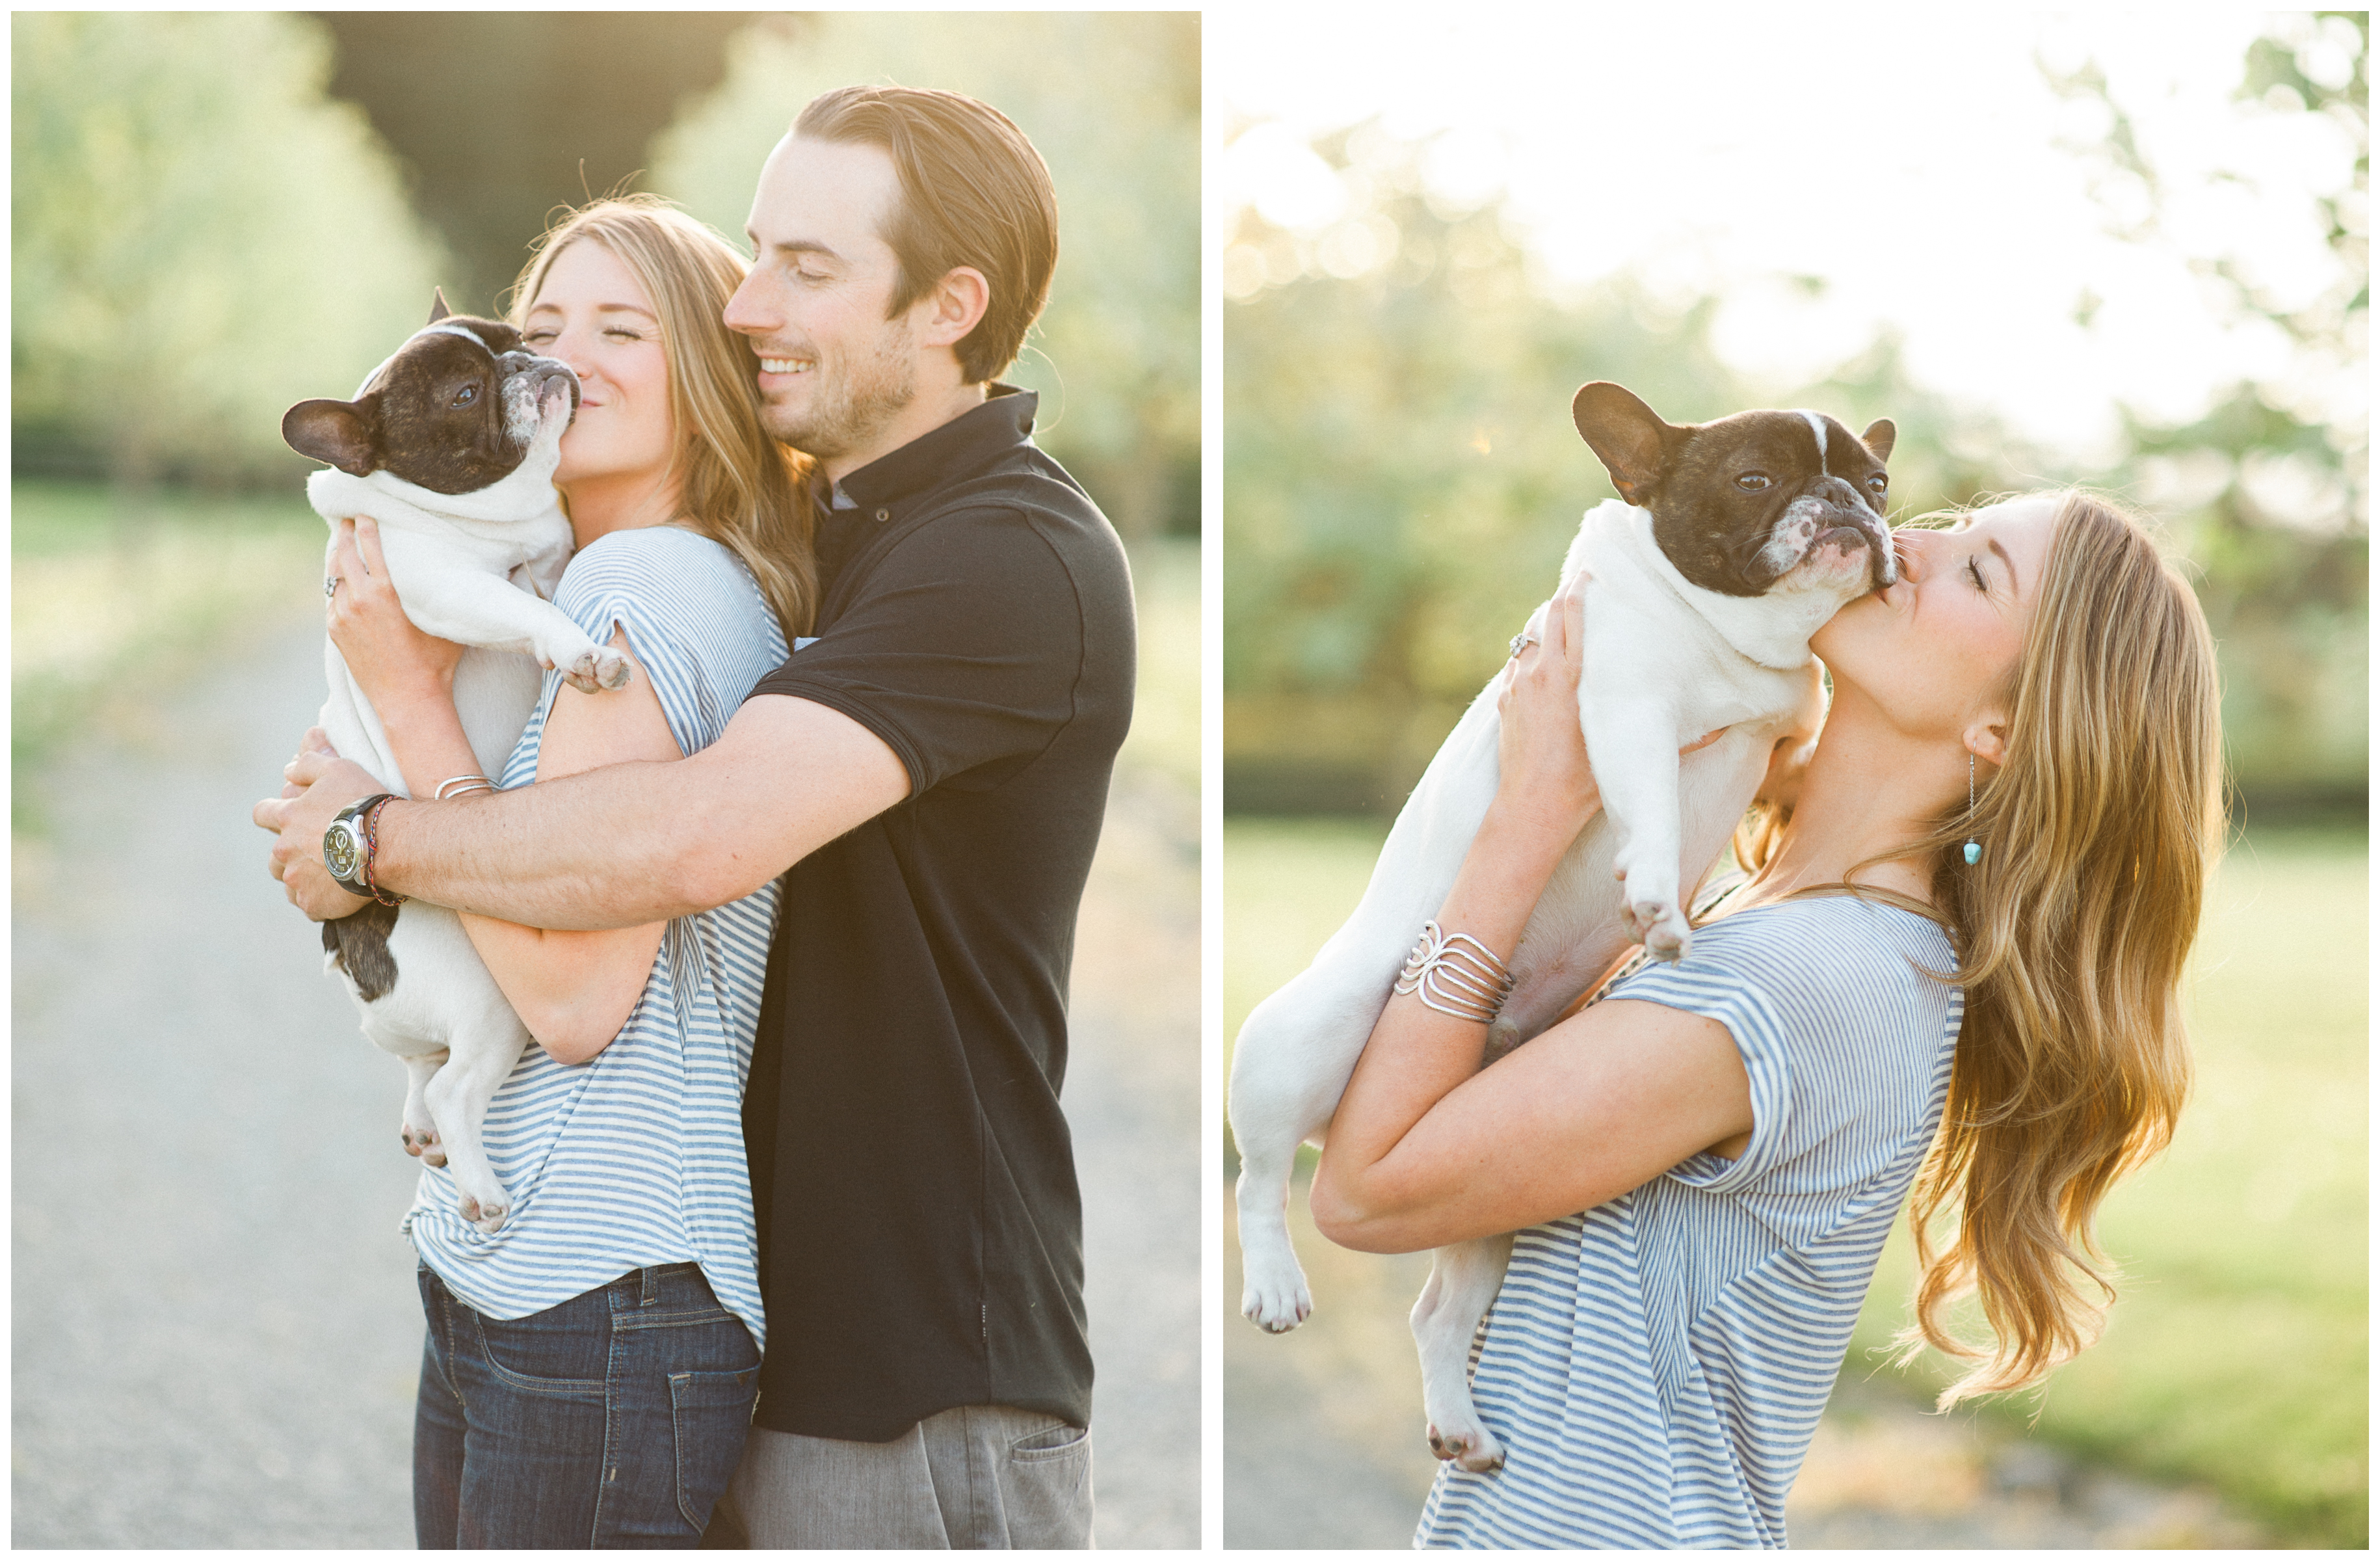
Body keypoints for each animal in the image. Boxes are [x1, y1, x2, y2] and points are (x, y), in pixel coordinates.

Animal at [285, 289, 633, 1227]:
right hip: (492, 1004)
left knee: (419, 1064)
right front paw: (578, 651)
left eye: (521, 339)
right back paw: (479, 1186)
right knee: (450, 1085)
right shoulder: (441, 588)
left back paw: (424, 1128)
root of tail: (351, 949)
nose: (529, 365)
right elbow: (524, 607)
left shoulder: (546, 545)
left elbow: (549, 566)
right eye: (465, 396)